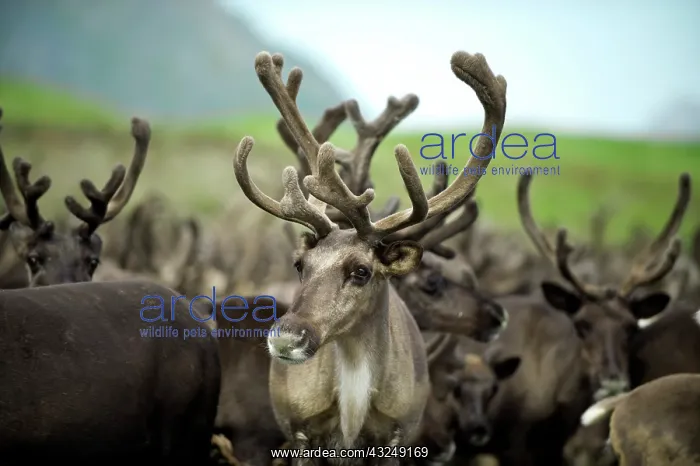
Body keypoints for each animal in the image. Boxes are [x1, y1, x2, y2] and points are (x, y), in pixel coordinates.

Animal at [230, 49, 506, 462]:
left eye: (361, 271)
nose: (286, 338)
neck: (351, 413)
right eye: (300, 265)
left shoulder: (397, 439)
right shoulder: (298, 437)